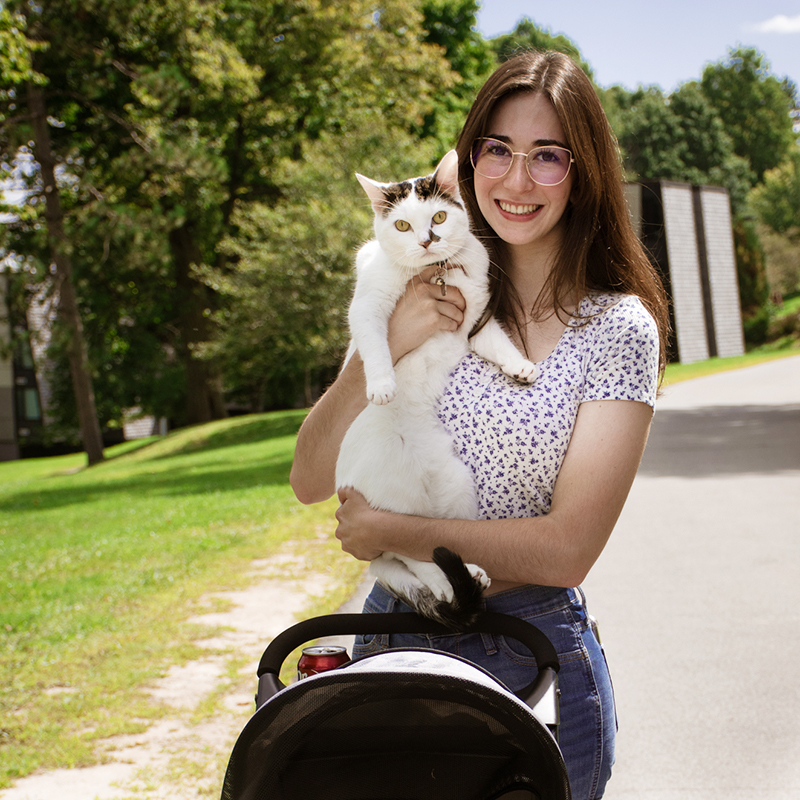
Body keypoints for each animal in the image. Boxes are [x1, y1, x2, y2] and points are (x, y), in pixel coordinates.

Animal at [334, 148, 536, 624]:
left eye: (439, 217)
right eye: (402, 226)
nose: (427, 240)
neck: (437, 273)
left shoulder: (475, 320)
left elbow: (498, 342)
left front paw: (519, 367)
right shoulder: (368, 305)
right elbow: (375, 343)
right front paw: (382, 385)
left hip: (455, 485)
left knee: (425, 545)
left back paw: (471, 573)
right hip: (390, 503)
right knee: (411, 555)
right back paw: (455, 582)